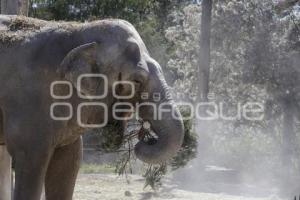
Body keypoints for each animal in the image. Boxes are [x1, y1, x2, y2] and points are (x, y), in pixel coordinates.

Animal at [0, 16, 185, 200]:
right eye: (137, 80)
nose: (143, 141)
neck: (80, 30)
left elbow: (69, 160)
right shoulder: (30, 101)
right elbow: (31, 160)